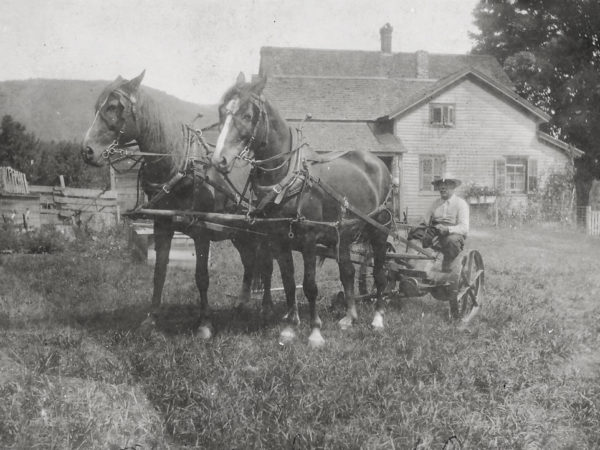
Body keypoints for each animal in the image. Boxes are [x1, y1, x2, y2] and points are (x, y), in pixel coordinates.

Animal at [81, 71, 274, 338]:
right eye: (97, 106)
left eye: (114, 106)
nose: (87, 151)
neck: (179, 164)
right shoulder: (162, 226)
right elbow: (159, 272)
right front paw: (152, 318)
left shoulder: (202, 232)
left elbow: (202, 276)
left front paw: (205, 323)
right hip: (238, 232)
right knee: (249, 261)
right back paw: (243, 303)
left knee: (266, 265)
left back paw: (265, 307)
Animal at [211, 74, 394, 348]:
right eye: (222, 112)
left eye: (247, 115)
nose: (218, 160)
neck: (288, 179)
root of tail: (379, 164)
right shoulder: (278, 241)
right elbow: (288, 282)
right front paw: (289, 328)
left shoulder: (309, 240)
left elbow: (309, 286)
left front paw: (315, 332)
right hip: (343, 235)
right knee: (348, 272)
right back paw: (349, 317)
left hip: (379, 231)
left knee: (380, 274)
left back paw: (378, 318)